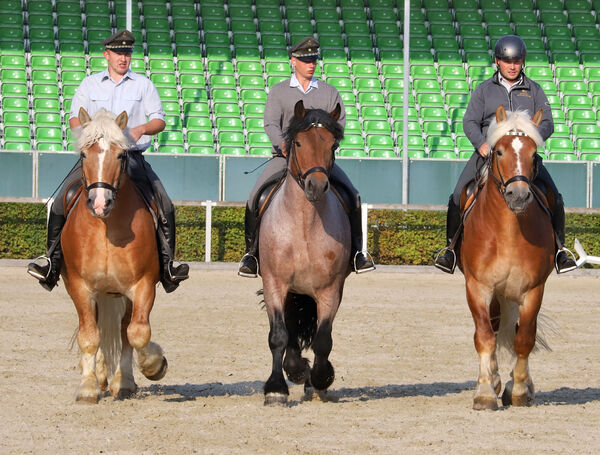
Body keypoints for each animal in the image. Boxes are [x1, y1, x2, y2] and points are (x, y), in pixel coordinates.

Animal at [60, 108, 166, 404]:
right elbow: (89, 336)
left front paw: (154, 365)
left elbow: (137, 334)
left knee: (123, 331)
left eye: (121, 155)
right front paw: (87, 388)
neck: (106, 227)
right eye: (84, 154)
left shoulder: (142, 286)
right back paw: (100, 376)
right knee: (97, 328)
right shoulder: (80, 287)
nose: (99, 203)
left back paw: (122, 381)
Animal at [258, 100, 352, 406]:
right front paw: (277, 388)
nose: (317, 186)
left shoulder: (330, 288)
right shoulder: (274, 283)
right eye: (298, 143)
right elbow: (279, 335)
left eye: (333, 145)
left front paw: (321, 379)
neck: (303, 224)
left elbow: (323, 339)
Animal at [462, 106, 556, 410]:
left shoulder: (533, 289)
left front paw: (519, 390)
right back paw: (493, 380)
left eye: (533, 153)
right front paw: (484, 392)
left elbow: (524, 338)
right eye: (500, 151)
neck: (508, 231)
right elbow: (484, 337)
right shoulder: (478, 287)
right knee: (492, 329)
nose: (518, 195)